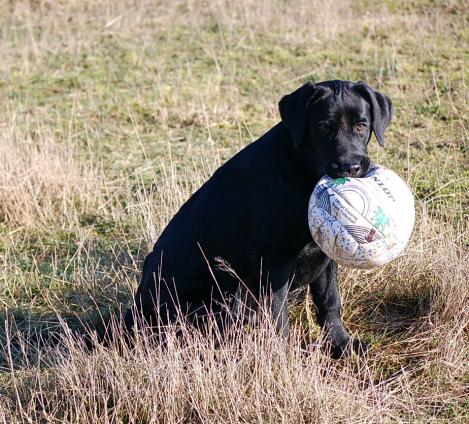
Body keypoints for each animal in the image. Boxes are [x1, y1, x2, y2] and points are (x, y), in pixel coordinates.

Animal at [123, 79, 392, 358]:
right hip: (225, 292)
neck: (301, 172)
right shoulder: (273, 261)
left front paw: (341, 343)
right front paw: (286, 358)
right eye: (323, 128)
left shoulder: (325, 250)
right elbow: (279, 319)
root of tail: (133, 312)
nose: (350, 167)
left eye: (361, 125)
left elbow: (329, 301)